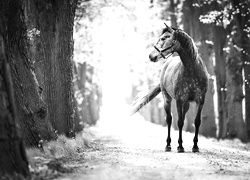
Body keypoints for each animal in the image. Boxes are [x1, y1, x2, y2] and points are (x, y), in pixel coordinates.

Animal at [132, 23, 208, 153]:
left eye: (164, 38)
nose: (151, 56)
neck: (192, 70)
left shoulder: (200, 100)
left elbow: (197, 122)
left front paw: (195, 146)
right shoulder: (179, 100)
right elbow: (179, 122)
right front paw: (180, 146)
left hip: (186, 104)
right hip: (167, 99)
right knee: (169, 119)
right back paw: (168, 145)